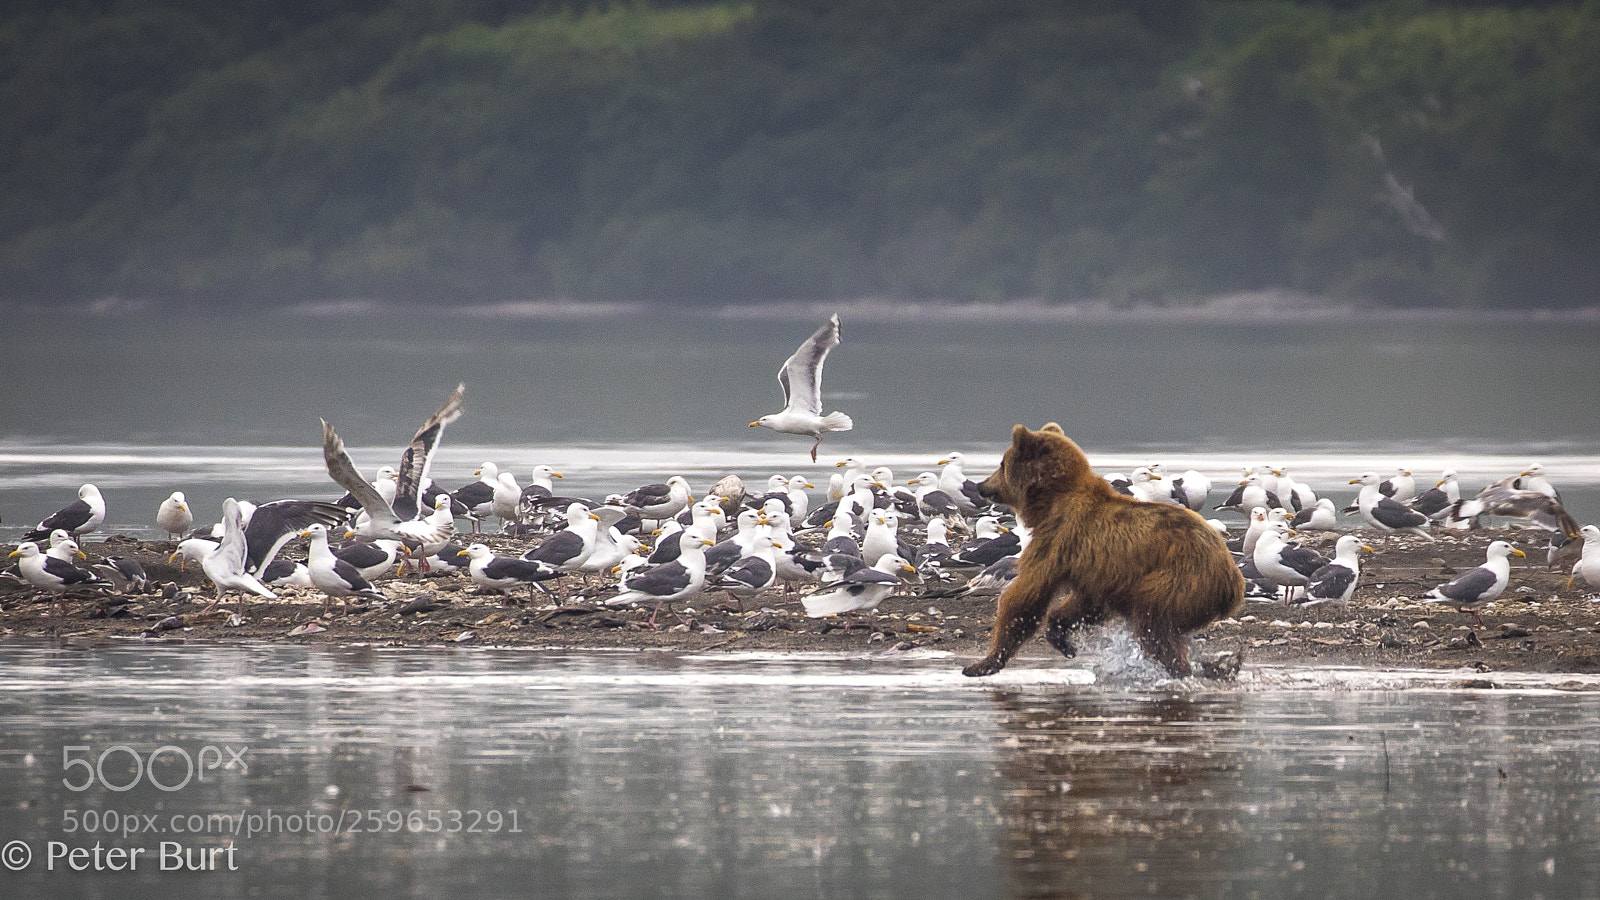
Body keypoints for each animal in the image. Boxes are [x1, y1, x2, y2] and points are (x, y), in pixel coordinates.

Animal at [962, 423, 1243, 678]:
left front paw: (982, 663)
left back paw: (1179, 669)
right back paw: (1215, 667)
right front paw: (1063, 641)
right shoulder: (1097, 570)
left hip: (1178, 580)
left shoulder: (1055, 540)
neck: (1049, 501)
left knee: (1154, 627)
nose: (981, 485)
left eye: (1002, 463)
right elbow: (1085, 604)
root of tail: (1232, 581)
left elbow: (1027, 595)